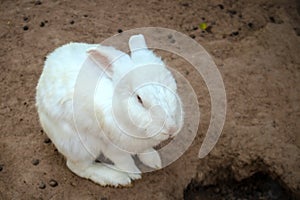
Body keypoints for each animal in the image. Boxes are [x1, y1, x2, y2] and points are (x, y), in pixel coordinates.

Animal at [36, 34, 184, 186]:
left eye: (173, 86)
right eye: (139, 99)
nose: (172, 129)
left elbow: (145, 151)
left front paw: (154, 161)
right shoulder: (111, 147)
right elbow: (125, 161)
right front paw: (134, 174)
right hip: (79, 145)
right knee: (78, 167)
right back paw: (116, 177)